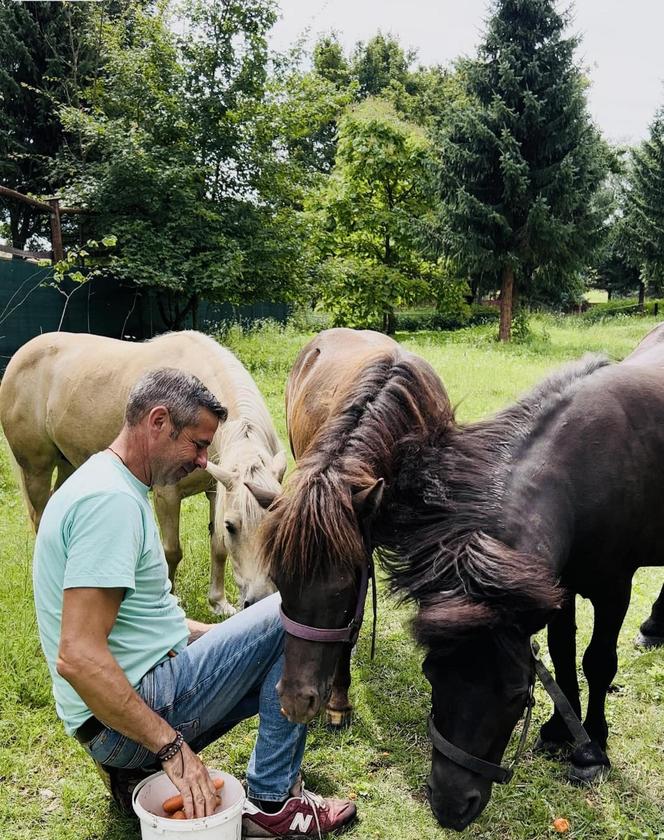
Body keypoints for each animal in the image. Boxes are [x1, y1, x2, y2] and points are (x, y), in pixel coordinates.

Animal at [0, 330, 286, 616]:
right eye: (232, 526)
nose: (259, 599)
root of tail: (20, 355)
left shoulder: (217, 489)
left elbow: (217, 546)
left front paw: (218, 603)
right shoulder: (167, 494)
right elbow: (172, 551)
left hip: (69, 464)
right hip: (36, 469)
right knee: (40, 516)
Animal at [378, 324, 664, 832]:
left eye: (515, 695)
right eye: (431, 675)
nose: (450, 807)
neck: (584, 477)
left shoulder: (614, 589)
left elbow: (597, 661)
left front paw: (592, 748)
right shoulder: (555, 588)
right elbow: (562, 654)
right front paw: (558, 731)